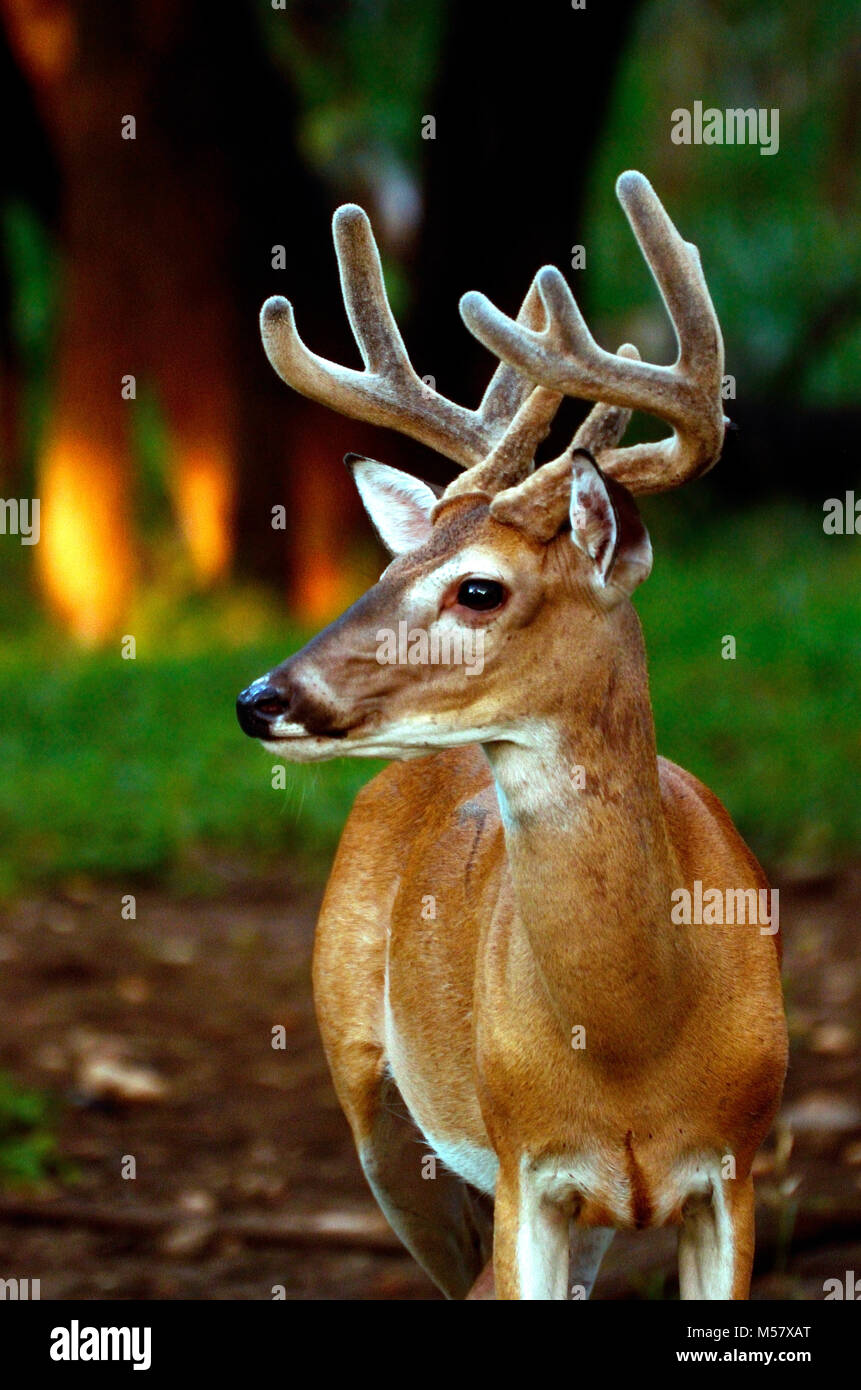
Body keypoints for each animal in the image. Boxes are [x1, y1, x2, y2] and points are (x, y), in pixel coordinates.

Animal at [236, 173, 790, 1301]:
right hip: (374, 1095)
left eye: (479, 588)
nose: (261, 696)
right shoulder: (524, 1164)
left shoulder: (736, 1168)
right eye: (389, 570)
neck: (633, 1047)